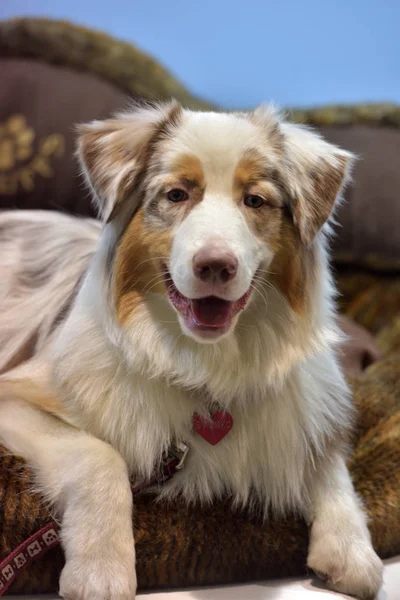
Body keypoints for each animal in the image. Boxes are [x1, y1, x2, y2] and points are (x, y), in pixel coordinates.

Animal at [0, 101, 382, 596]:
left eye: (254, 201)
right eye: (177, 194)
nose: (216, 265)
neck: (207, 362)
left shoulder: (306, 411)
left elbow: (330, 464)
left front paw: (352, 550)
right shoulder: (17, 394)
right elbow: (99, 457)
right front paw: (101, 571)